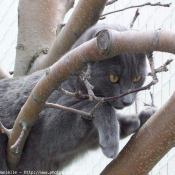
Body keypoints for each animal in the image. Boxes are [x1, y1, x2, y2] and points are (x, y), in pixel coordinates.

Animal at [0, 23, 156, 172]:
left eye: (137, 78)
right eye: (113, 78)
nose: (127, 100)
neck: (74, 85)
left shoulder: (89, 138)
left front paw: (142, 117)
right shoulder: (48, 129)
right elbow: (99, 106)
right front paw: (111, 141)